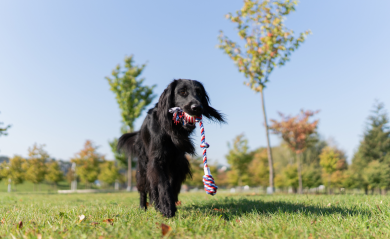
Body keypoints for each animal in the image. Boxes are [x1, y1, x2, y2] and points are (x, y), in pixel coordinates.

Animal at [117, 79, 224, 218]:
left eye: (199, 93)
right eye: (182, 92)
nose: (197, 107)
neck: (171, 129)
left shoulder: (177, 163)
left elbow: (172, 184)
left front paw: (168, 204)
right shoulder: (156, 161)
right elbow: (163, 184)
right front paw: (167, 207)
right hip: (143, 166)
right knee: (144, 188)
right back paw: (143, 207)